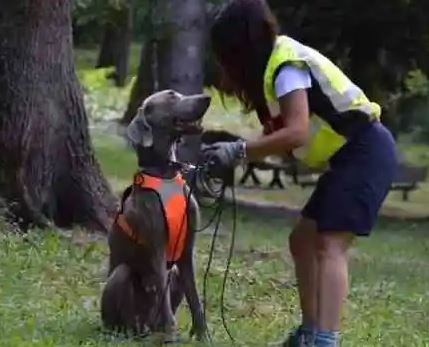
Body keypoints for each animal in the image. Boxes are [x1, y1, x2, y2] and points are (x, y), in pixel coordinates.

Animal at [100, 89, 211, 342]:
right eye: (171, 96)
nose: (206, 98)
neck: (165, 173)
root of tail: (145, 326)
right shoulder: (157, 247)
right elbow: (164, 297)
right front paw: (172, 337)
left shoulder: (187, 251)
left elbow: (195, 298)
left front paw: (203, 336)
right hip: (121, 276)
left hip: (175, 274)